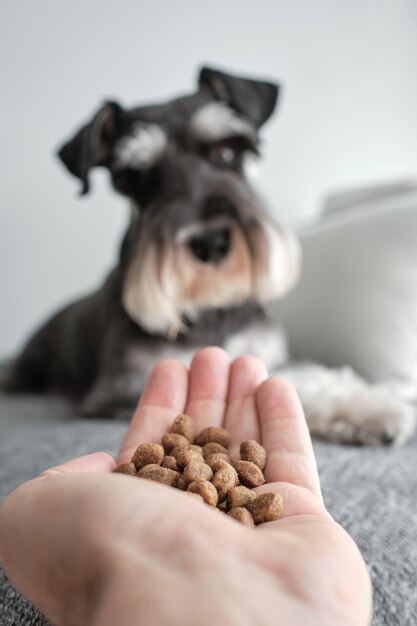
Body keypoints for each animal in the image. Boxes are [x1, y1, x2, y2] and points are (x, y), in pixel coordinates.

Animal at [4, 67, 414, 444]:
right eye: (141, 178)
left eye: (228, 152)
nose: (210, 242)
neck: (210, 305)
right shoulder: (123, 387)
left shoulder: (267, 355)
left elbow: (300, 374)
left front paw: (367, 406)